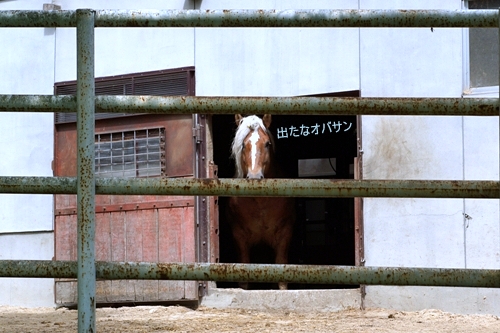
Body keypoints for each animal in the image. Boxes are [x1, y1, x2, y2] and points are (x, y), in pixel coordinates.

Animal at [226, 113, 294, 288]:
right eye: (244, 144)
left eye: (267, 144)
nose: (255, 177)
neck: (260, 203)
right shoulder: (239, 236)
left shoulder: (285, 234)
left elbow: (281, 271)